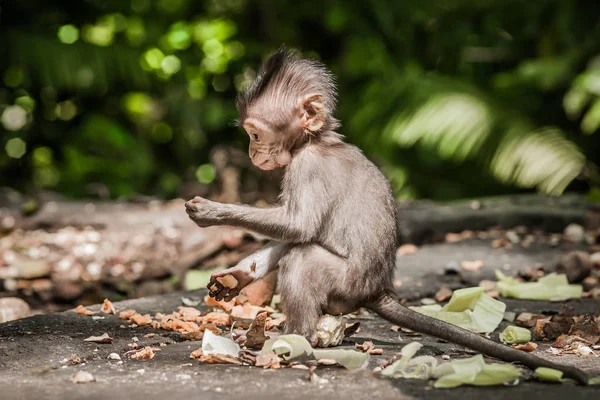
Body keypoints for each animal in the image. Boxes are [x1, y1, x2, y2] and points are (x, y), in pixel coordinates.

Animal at [185, 47, 588, 384]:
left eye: (255, 134)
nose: (251, 154)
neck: (318, 142)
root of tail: (378, 288)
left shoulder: (307, 166)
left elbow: (298, 226)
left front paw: (211, 212)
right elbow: (298, 231)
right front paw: (235, 276)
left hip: (347, 285)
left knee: (304, 254)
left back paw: (294, 340)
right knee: (299, 246)